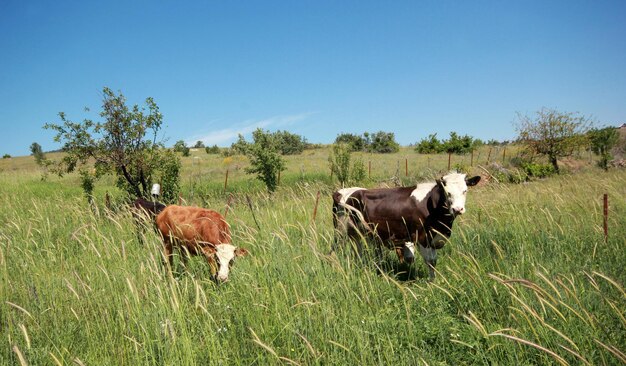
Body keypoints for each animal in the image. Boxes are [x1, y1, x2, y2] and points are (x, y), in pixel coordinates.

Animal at [332, 172, 478, 280]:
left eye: (465, 191)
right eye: (447, 192)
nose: (457, 209)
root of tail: (344, 191)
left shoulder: (433, 238)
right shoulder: (423, 237)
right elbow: (431, 261)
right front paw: (432, 283)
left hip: (359, 234)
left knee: (358, 252)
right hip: (341, 231)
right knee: (338, 251)